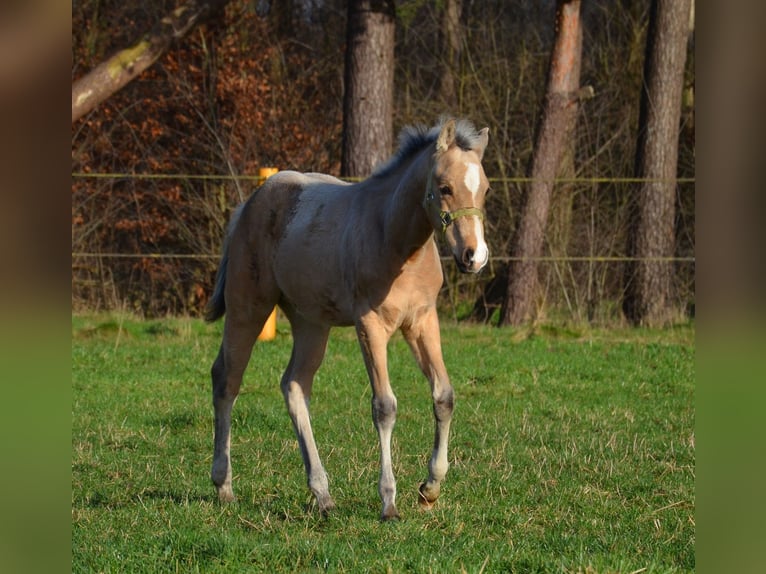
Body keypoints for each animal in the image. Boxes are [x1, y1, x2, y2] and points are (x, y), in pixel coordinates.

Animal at [206, 118, 492, 520]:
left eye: (485, 190)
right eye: (445, 188)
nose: (474, 256)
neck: (396, 241)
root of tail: (250, 204)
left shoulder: (422, 321)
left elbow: (444, 396)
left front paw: (430, 489)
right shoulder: (370, 325)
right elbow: (384, 407)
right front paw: (389, 501)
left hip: (311, 323)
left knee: (294, 386)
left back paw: (322, 494)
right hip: (249, 307)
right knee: (226, 380)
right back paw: (224, 485)